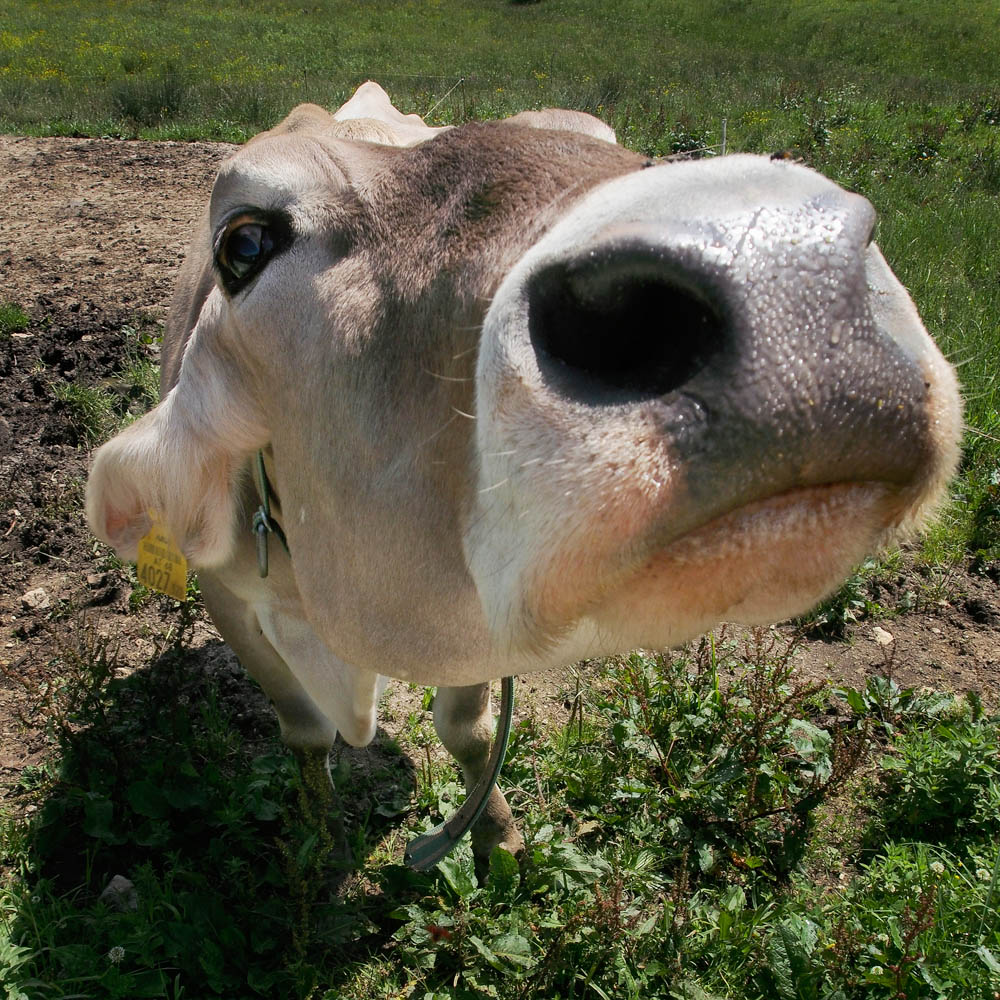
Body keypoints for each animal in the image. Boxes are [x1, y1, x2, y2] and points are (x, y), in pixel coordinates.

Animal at [85, 81, 962, 877]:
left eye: (604, 140)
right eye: (244, 244)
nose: (784, 272)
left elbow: (470, 731)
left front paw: (496, 835)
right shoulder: (226, 594)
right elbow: (302, 729)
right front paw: (321, 836)